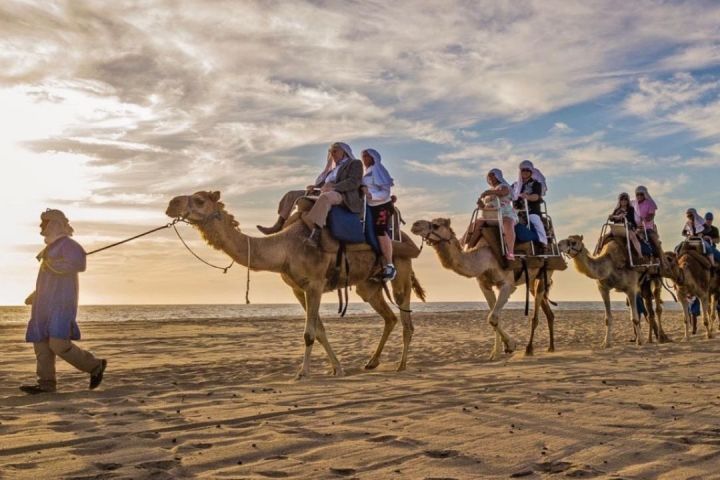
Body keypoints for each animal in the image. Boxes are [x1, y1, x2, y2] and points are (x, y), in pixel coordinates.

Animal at [165, 191, 426, 378]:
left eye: (199, 200)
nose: (171, 204)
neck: (285, 248)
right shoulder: (298, 289)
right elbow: (319, 330)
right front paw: (337, 368)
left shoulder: (315, 284)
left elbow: (309, 333)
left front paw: (303, 372)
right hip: (368, 285)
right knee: (389, 317)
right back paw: (371, 362)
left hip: (401, 270)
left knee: (406, 319)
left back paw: (401, 366)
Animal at [410, 218, 557, 359]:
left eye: (436, 225)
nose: (415, 225)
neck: (485, 260)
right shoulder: (484, 285)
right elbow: (494, 317)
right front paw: (496, 352)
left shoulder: (507, 285)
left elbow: (492, 317)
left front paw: (510, 345)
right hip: (532, 280)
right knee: (546, 309)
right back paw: (551, 347)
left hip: (546, 272)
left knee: (536, 312)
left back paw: (530, 349)